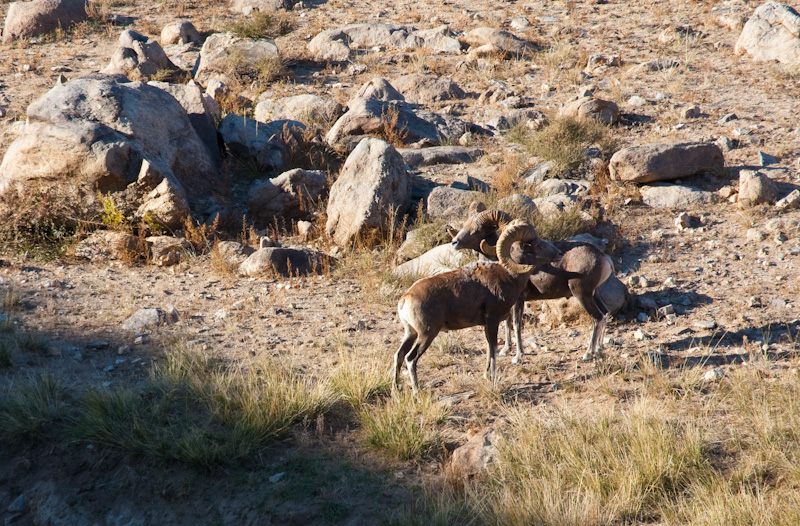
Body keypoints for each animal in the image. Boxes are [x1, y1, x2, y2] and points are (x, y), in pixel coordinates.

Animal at [392, 220, 556, 396]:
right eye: (535, 244)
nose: (558, 252)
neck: (508, 275)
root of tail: (405, 299)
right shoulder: (492, 320)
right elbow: (493, 349)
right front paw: (492, 379)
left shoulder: (487, 324)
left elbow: (489, 348)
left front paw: (486, 375)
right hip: (426, 335)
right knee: (410, 358)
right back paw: (417, 392)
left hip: (411, 333)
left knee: (399, 355)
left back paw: (396, 389)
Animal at [450, 208, 612, 366]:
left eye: (477, 230)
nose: (454, 242)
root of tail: (604, 259)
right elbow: (507, 322)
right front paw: (506, 350)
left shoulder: (519, 300)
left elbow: (516, 324)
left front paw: (517, 357)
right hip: (593, 294)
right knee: (605, 314)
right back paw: (599, 349)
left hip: (581, 294)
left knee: (597, 318)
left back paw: (588, 354)